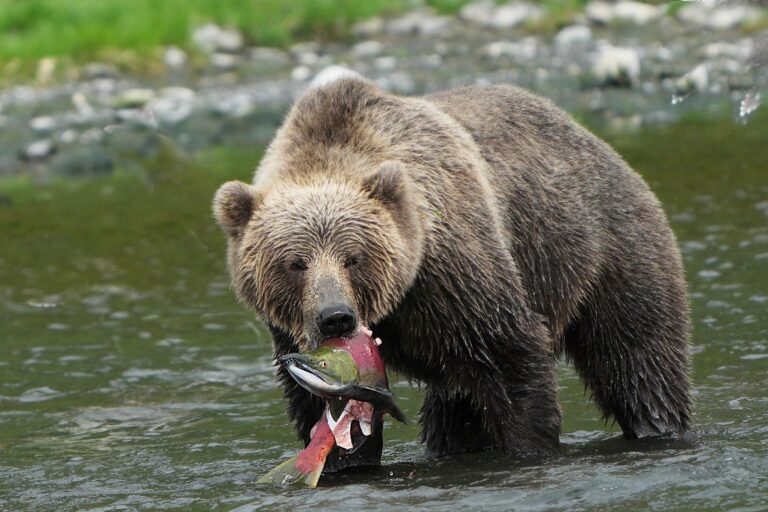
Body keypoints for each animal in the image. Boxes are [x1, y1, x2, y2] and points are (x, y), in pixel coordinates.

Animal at [213, 76, 692, 468]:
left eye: (353, 257)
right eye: (296, 262)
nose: (335, 317)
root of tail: (597, 141)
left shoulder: (455, 275)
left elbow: (512, 354)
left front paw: (530, 446)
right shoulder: (289, 335)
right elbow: (317, 409)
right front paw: (341, 454)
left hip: (604, 247)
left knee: (636, 358)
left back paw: (658, 425)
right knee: (456, 409)